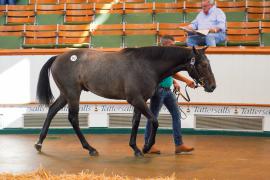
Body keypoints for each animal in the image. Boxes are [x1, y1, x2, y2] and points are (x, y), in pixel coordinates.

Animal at [34, 45, 216, 157]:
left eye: (208, 63)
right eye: (203, 64)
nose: (212, 86)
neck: (147, 65)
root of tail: (58, 57)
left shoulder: (140, 100)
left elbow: (136, 122)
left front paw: (135, 148)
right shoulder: (136, 99)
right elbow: (154, 121)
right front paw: (146, 147)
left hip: (65, 94)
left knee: (52, 110)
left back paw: (39, 143)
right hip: (73, 94)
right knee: (73, 118)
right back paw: (90, 149)